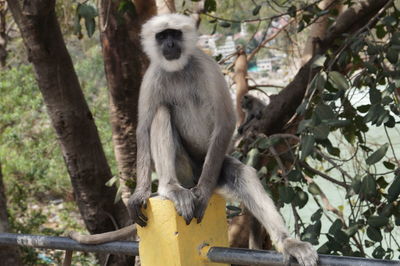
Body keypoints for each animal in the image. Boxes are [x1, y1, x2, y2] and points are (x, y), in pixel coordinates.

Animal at [126, 14, 318, 266]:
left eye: (174, 34)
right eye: (162, 35)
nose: (169, 44)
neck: (178, 70)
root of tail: (192, 178)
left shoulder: (205, 65)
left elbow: (226, 121)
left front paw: (203, 195)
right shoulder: (152, 76)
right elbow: (142, 130)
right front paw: (140, 194)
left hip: (211, 166)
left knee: (242, 175)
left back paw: (288, 243)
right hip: (184, 168)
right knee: (161, 112)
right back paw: (171, 188)